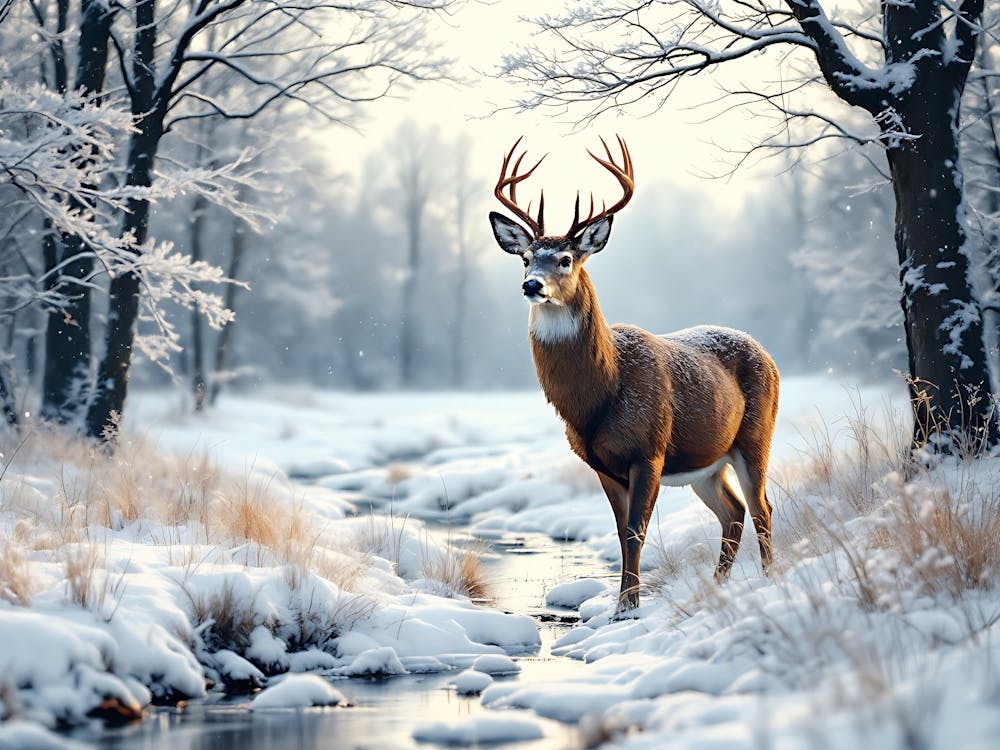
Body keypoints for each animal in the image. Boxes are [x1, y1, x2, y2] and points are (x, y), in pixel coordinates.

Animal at [488, 136, 780, 615]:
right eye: (526, 257)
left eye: (566, 259)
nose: (532, 284)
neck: (600, 396)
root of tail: (767, 353)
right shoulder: (601, 464)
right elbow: (621, 531)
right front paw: (622, 604)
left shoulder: (649, 450)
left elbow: (635, 531)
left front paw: (628, 607)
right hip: (707, 464)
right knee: (734, 512)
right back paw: (717, 585)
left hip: (755, 437)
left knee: (761, 509)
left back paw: (771, 578)